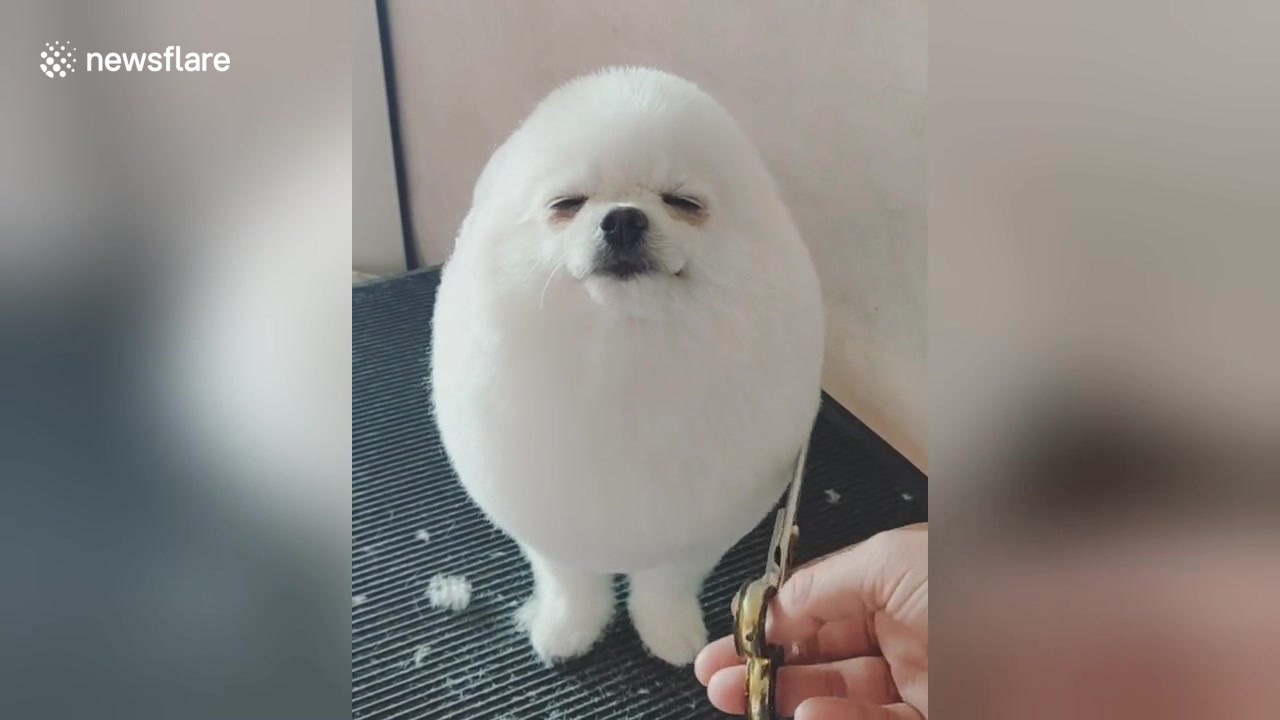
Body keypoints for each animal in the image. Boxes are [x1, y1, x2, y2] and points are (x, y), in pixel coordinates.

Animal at [430, 65, 824, 661]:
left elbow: (665, 585)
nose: (621, 220)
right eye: (567, 203)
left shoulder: (695, 530)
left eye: (683, 201)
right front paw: (568, 630)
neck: (624, 355)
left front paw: (668, 632)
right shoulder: (551, 516)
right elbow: (570, 582)